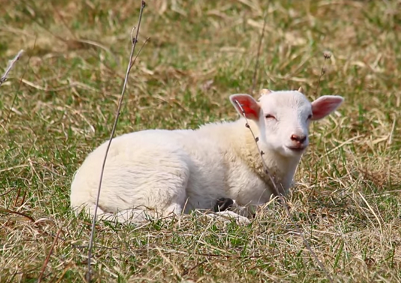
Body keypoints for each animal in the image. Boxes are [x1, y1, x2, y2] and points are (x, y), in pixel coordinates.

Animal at [70, 89, 342, 224]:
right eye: (269, 116)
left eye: (309, 116)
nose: (298, 138)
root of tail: (81, 196)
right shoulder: (251, 195)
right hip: (163, 177)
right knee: (170, 217)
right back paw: (227, 217)